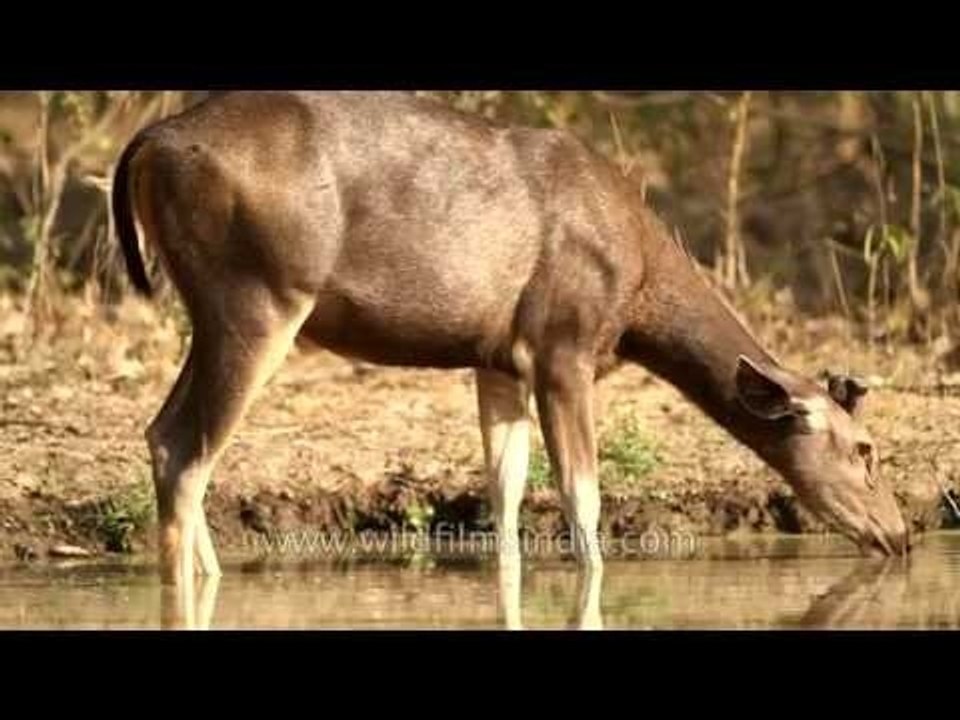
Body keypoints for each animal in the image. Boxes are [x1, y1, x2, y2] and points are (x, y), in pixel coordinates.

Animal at [110, 91, 910, 595]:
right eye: (865, 450)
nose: (899, 535)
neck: (636, 296)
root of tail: (150, 145)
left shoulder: (497, 358)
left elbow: (506, 491)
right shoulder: (562, 344)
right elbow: (582, 496)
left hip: (215, 304)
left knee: (161, 433)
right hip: (259, 293)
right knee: (186, 447)